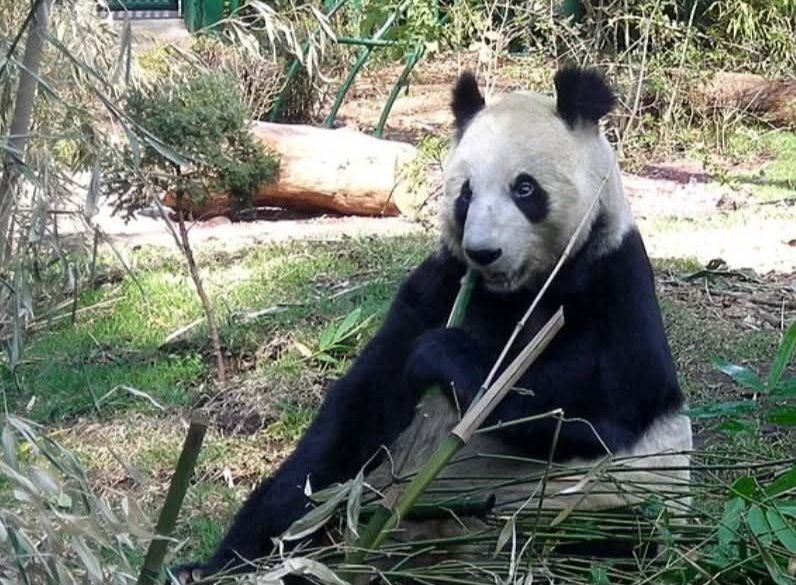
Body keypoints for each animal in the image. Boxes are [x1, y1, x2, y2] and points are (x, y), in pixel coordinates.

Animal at [172, 65, 692, 584]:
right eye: (465, 193)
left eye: (525, 189)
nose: (484, 252)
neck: (516, 290)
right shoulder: (439, 286)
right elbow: (357, 414)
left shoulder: (612, 286)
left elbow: (588, 415)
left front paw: (442, 353)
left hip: (596, 509)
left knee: (599, 538)